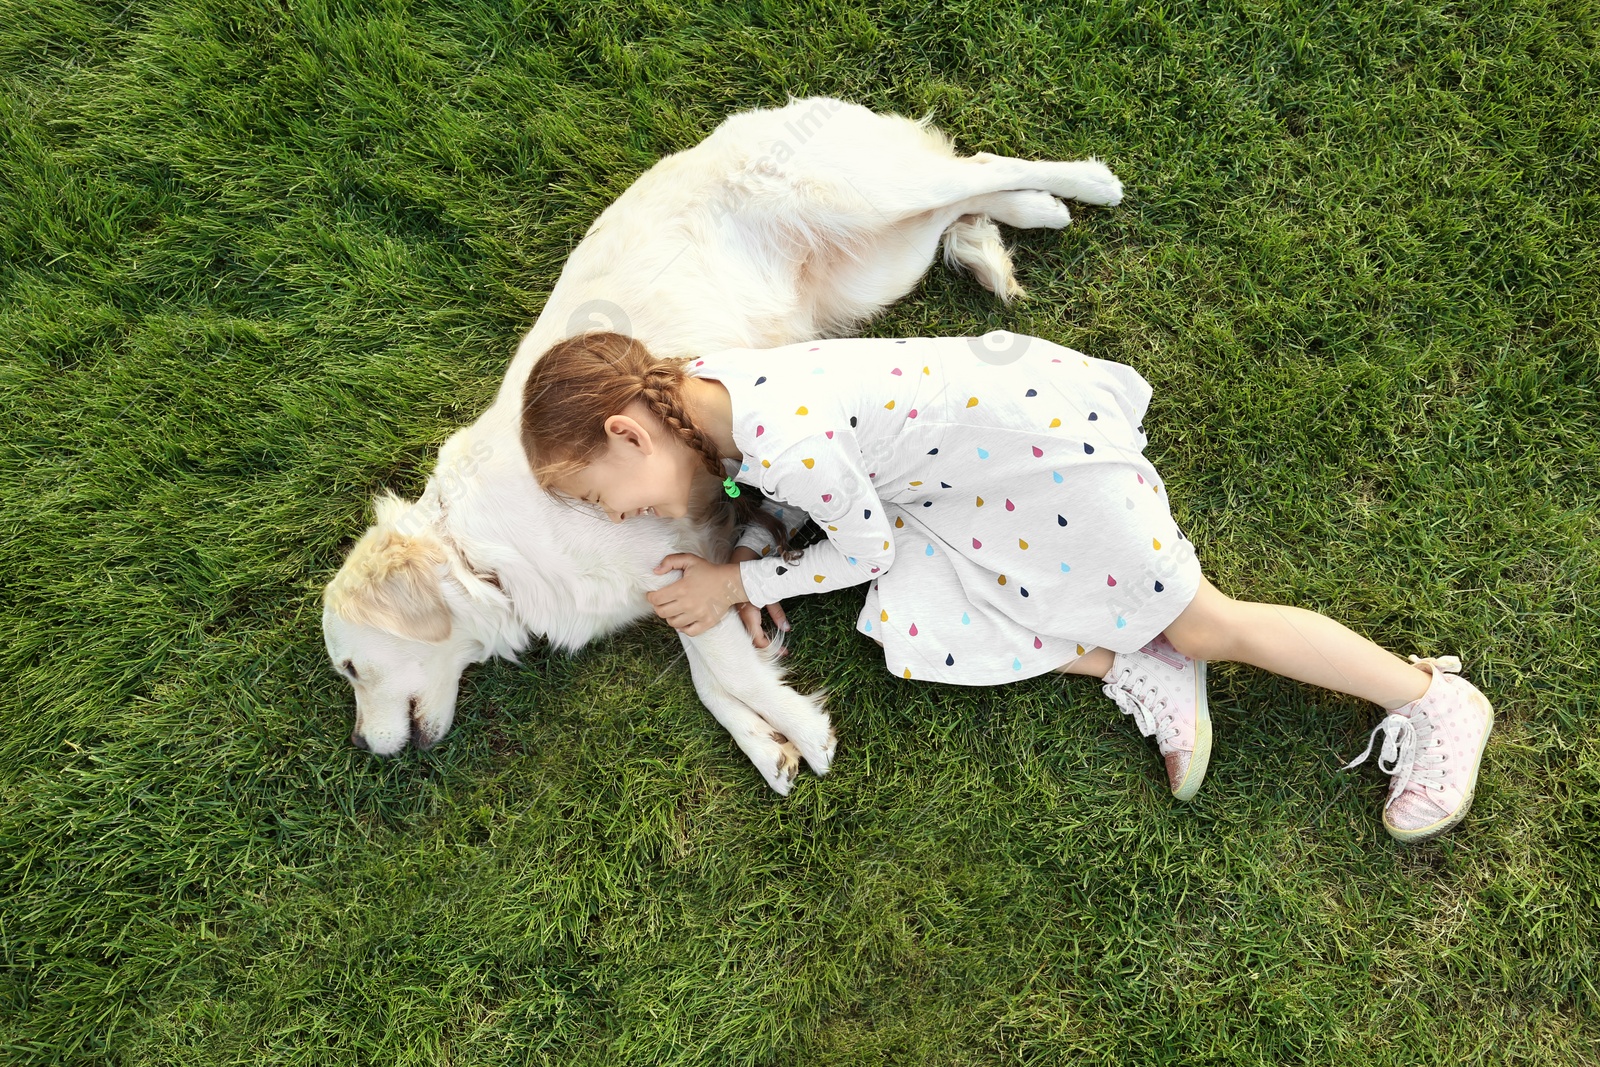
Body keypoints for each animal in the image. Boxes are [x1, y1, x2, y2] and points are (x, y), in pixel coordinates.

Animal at [321, 97, 1126, 793]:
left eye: (352, 669)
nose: (359, 744)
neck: (481, 556)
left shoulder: (669, 551)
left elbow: (724, 667)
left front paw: (804, 731)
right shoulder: (687, 562)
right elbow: (713, 669)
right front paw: (769, 744)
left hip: (862, 202)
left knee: (974, 168)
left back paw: (1083, 183)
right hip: (878, 267)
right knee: (956, 199)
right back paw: (1022, 218)